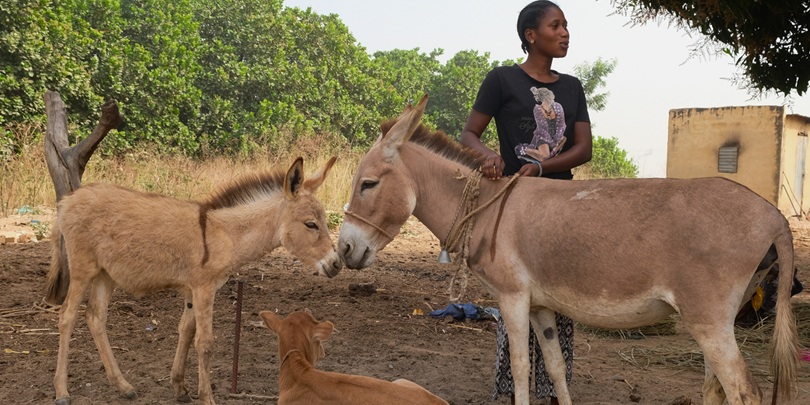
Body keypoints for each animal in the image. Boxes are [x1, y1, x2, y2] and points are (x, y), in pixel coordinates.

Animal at [44, 157, 342, 405]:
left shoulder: (191, 291)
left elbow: (186, 332)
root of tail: (67, 200)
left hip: (106, 274)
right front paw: (207, 397)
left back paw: (123, 386)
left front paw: (180, 387)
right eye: (311, 224)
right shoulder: (204, 288)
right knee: (67, 316)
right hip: (82, 269)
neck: (224, 234)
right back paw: (61, 392)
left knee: (95, 318)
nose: (337, 264)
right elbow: (205, 342)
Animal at [337, 95, 800, 405]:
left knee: (743, 391)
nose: (343, 249)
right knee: (715, 388)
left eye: (368, 184)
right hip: (717, 318)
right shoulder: (542, 306)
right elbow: (556, 369)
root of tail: (774, 215)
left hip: (709, 319)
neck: (489, 208)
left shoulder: (512, 298)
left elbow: (521, 368)